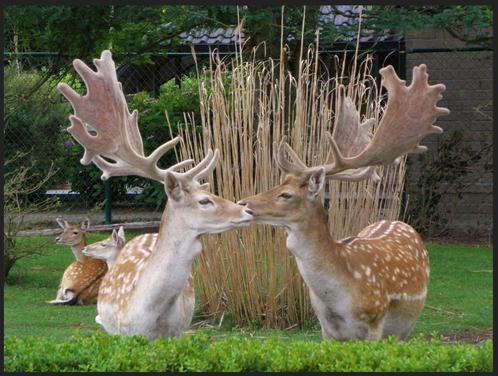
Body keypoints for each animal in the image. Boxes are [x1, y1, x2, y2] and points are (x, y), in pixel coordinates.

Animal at [238, 64, 452, 340]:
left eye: (286, 194)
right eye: (275, 184)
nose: (243, 203)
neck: (338, 299)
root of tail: (399, 222)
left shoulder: (375, 323)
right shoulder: (326, 329)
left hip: (407, 325)